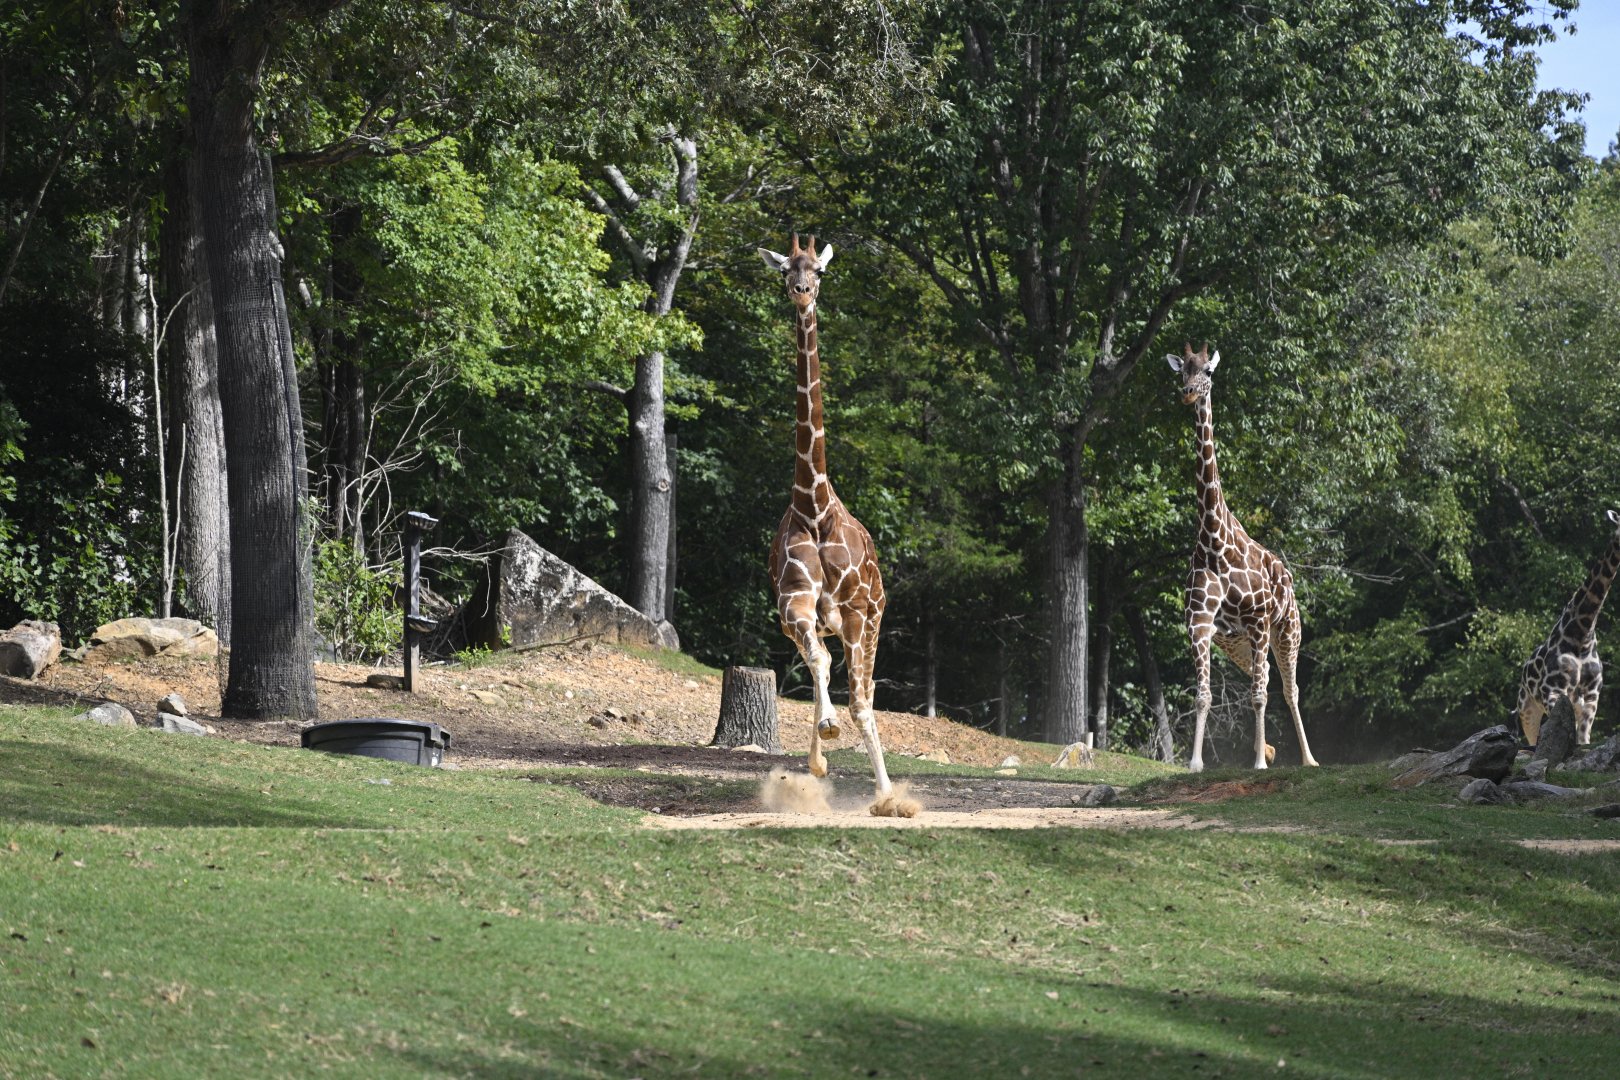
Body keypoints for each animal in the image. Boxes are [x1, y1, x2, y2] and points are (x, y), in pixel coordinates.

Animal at [757, 234, 914, 817]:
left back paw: (888, 795)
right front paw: (822, 745)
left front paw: (887, 796)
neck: (816, 506)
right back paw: (819, 759)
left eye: (818, 271)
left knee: (864, 698)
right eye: (785, 269)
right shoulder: (793, 603)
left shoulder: (856, 612)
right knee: (819, 662)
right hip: (825, 619)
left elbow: (862, 705)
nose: (802, 293)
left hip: (871, 617)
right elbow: (818, 663)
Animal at [1168, 343, 1318, 773]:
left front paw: (1261, 765)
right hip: (1236, 642)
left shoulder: (1258, 620)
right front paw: (1195, 763)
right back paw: (1265, 748)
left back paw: (1308, 759)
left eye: (1208, 372)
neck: (1215, 542)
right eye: (1182, 370)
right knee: (1263, 674)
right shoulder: (1200, 623)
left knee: (1288, 687)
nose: (1188, 393)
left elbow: (1262, 695)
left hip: (1286, 630)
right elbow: (1203, 694)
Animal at [1514, 509, 1620, 748]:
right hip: (1527, 708)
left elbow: (1583, 738)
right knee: (1532, 738)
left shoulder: (1591, 695)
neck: (1582, 633)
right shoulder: (1552, 691)